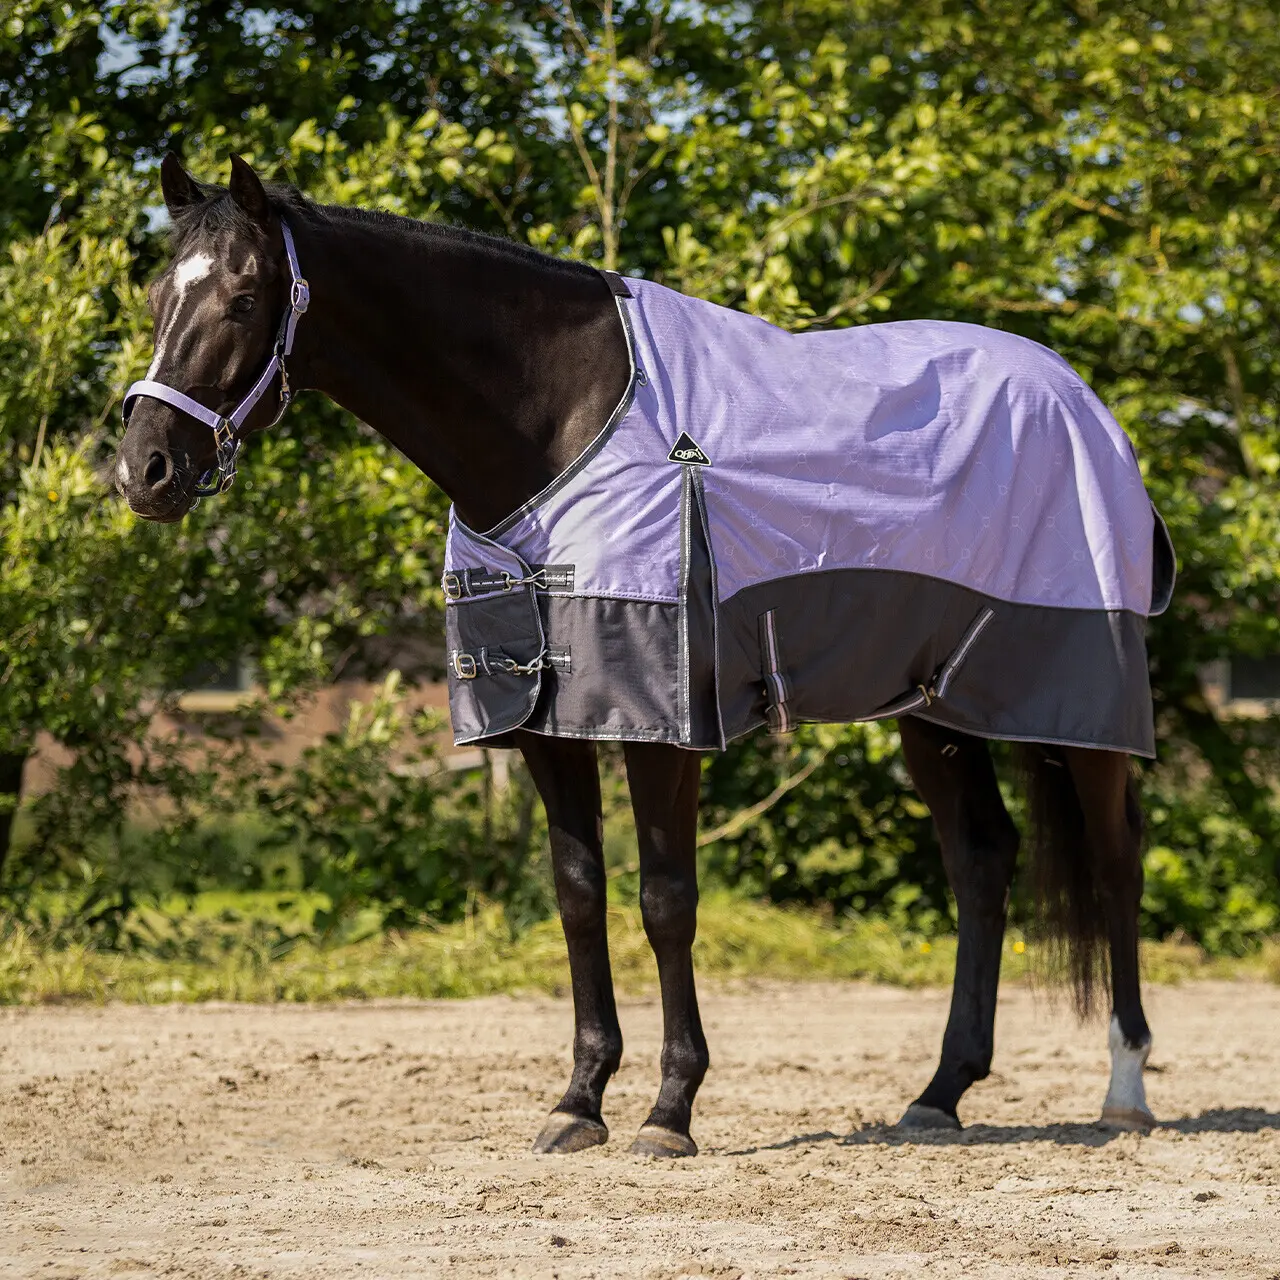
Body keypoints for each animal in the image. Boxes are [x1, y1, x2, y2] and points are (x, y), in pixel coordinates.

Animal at [115, 153, 1170, 1158]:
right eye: (160, 292)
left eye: (244, 296)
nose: (143, 471)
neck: (558, 422)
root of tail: (1084, 402)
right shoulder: (545, 721)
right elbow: (579, 895)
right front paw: (579, 1101)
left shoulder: (662, 719)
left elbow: (666, 900)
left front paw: (671, 1110)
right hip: (932, 709)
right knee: (982, 861)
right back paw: (939, 1094)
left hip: (1085, 691)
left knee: (1119, 858)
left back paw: (1124, 1091)